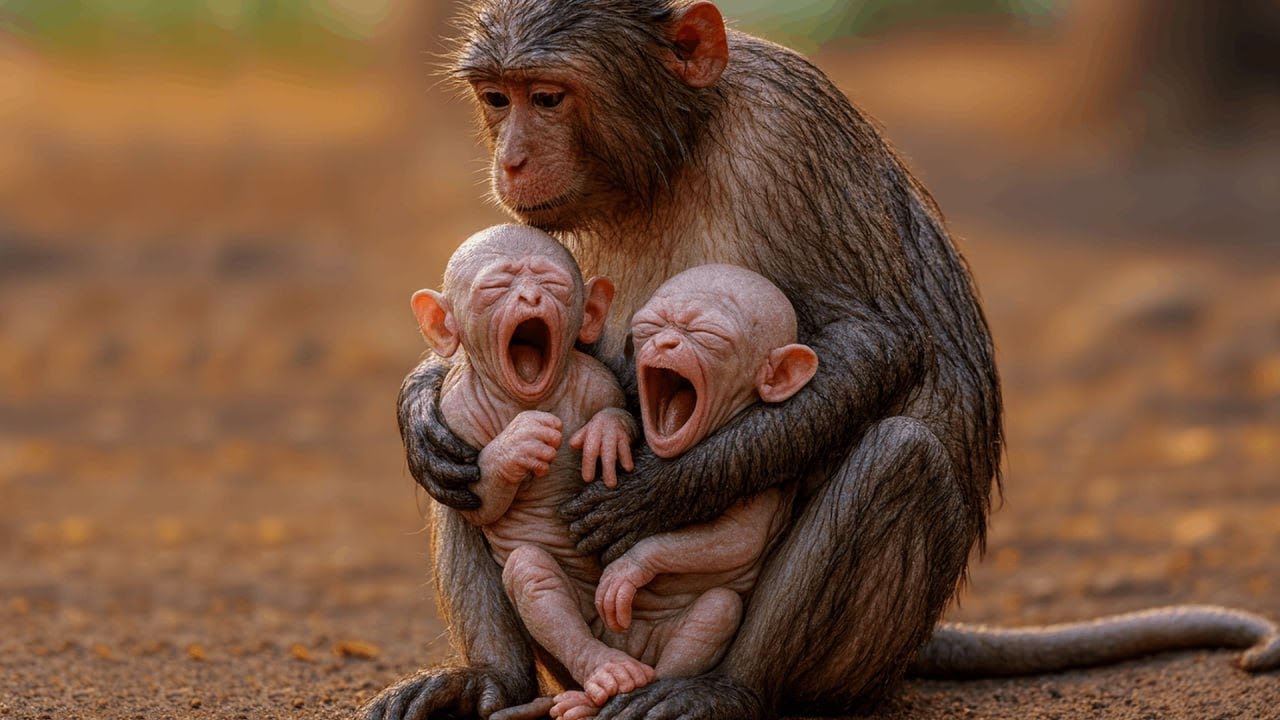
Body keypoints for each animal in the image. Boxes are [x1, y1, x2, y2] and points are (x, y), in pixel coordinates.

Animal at [365, 2, 1280, 718]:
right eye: (498, 98)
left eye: (548, 97)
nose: (512, 158)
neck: (679, 147)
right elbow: (472, 412)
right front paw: (420, 410)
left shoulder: (784, 130)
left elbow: (876, 343)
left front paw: (659, 493)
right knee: (466, 470)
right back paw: (491, 681)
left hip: (855, 650)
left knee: (897, 455)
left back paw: (725, 690)